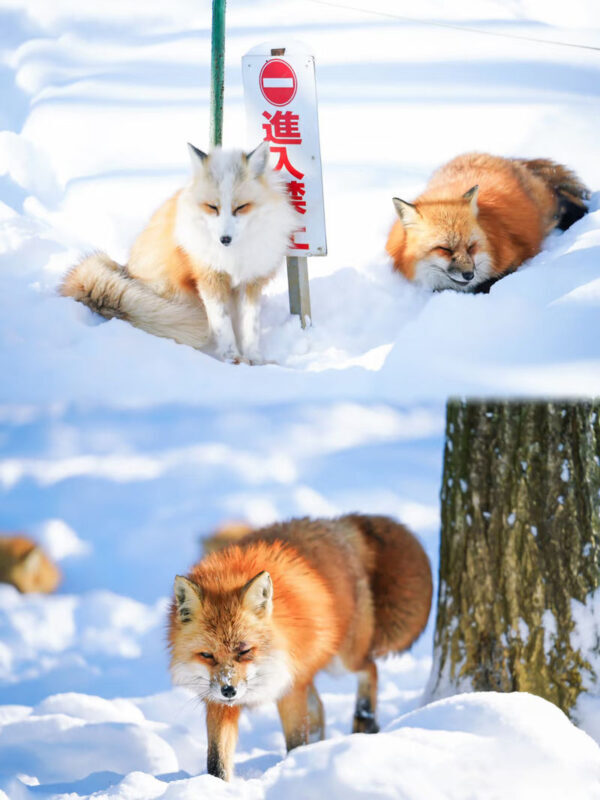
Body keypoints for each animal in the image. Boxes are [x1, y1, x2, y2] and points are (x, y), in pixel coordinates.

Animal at [60, 142, 298, 363]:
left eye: (240, 207)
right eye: (213, 207)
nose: (224, 239)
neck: (233, 257)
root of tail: (126, 270)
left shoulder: (251, 281)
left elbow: (251, 327)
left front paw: (255, 359)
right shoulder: (209, 277)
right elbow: (223, 325)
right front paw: (232, 359)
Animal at [169, 513, 432, 781]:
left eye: (244, 651)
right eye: (207, 655)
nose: (229, 690)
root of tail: (336, 522)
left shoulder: (290, 686)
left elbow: (295, 740)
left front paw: (291, 769)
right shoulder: (217, 701)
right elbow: (217, 761)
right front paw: (217, 785)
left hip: (341, 660)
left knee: (370, 668)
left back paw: (364, 719)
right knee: (320, 708)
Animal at [386, 152, 590, 293]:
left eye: (471, 247)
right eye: (445, 249)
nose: (469, 274)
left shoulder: (516, 254)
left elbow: (490, 282)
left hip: (546, 209)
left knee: (562, 203)